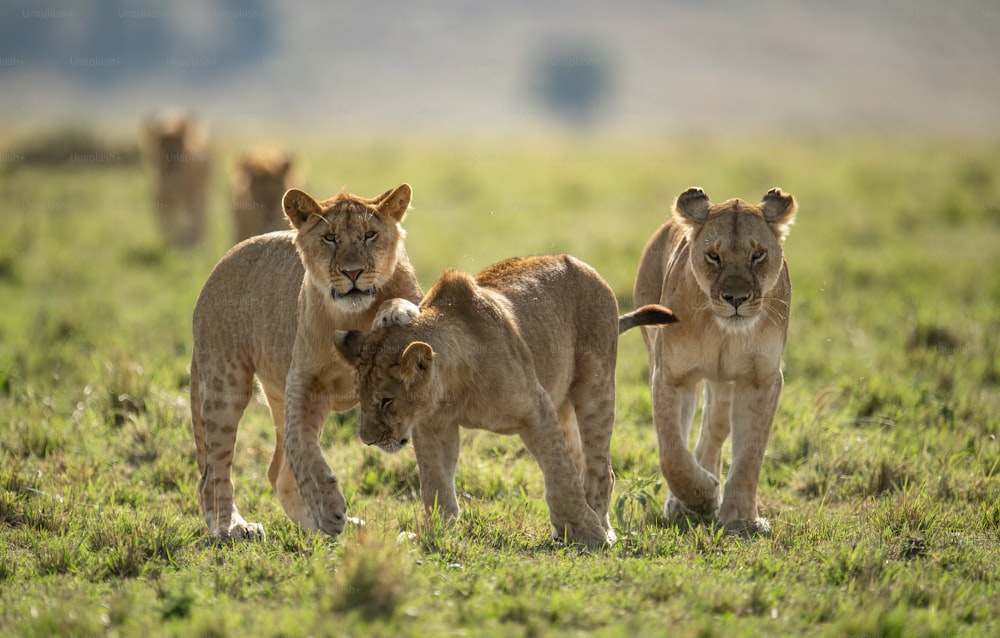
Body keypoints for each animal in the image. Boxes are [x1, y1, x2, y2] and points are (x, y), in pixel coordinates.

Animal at [141, 111, 211, 246]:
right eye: (160, 147)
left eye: (181, 148)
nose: (172, 170)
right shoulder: (161, 198)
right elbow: (167, 223)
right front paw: (175, 240)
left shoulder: (190, 195)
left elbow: (192, 218)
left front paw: (187, 240)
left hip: (202, 189)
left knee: (201, 214)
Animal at [190, 184, 422, 540]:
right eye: (330, 238)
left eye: (369, 235)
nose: (352, 272)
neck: (352, 313)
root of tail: (218, 265)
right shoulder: (304, 381)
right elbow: (300, 446)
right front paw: (327, 507)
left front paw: (397, 310)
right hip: (225, 385)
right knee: (213, 472)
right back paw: (233, 526)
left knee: (276, 471)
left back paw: (319, 528)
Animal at [332, 258, 676, 548]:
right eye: (361, 397)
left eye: (386, 401)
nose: (367, 440)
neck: (456, 388)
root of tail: (589, 269)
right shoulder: (433, 427)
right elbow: (435, 485)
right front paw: (433, 534)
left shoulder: (537, 409)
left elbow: (560, 473)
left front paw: (588, 534)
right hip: (562, 404)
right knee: (579, 458)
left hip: (595, 388)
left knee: (599, 468)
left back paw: (602, 526)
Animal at [636, 188, 800, 536]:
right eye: (713, 256)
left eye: (757, 255)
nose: (735, 299)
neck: (722, 331)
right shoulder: (671, 375)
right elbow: (672, 452)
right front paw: (700, 497)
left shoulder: (761, 380)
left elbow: (750, 454)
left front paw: (740, 519)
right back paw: (686, 501)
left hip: (724, 382)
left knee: (714, 426)